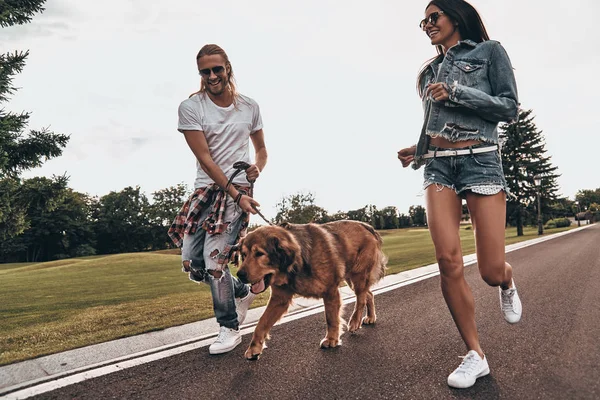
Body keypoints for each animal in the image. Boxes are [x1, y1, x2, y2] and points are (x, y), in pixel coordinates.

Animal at [237, 220, 386, 360]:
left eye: (259, 253)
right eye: (243, 255)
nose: (239, 275)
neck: (296, 264)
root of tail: (366, 225)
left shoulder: (330, 292)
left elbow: (331, 318)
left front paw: (331, 339)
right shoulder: (279, 299)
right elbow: (261, 323)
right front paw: (254, 348)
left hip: (358, 275)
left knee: (361, 298)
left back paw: (355, 321)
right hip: (350, 277)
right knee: (369, 294)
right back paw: (370, 317)